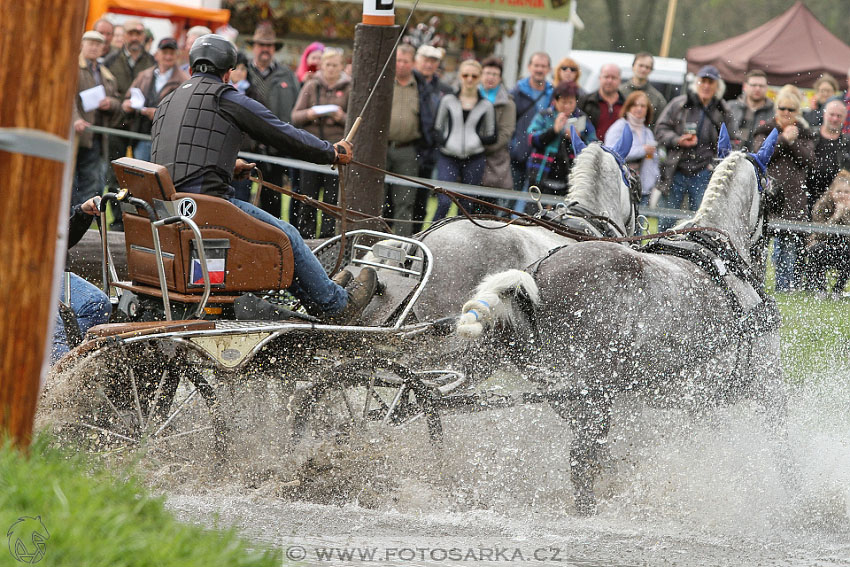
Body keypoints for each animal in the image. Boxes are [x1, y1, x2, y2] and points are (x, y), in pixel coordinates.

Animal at [458, 127, 788, 516]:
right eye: (772, 191)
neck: (717, 249)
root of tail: (534, 276)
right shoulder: (766, 382)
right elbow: (781, 445)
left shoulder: (699, 400)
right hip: (592, 394)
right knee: (581, 461)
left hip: (561, 391)